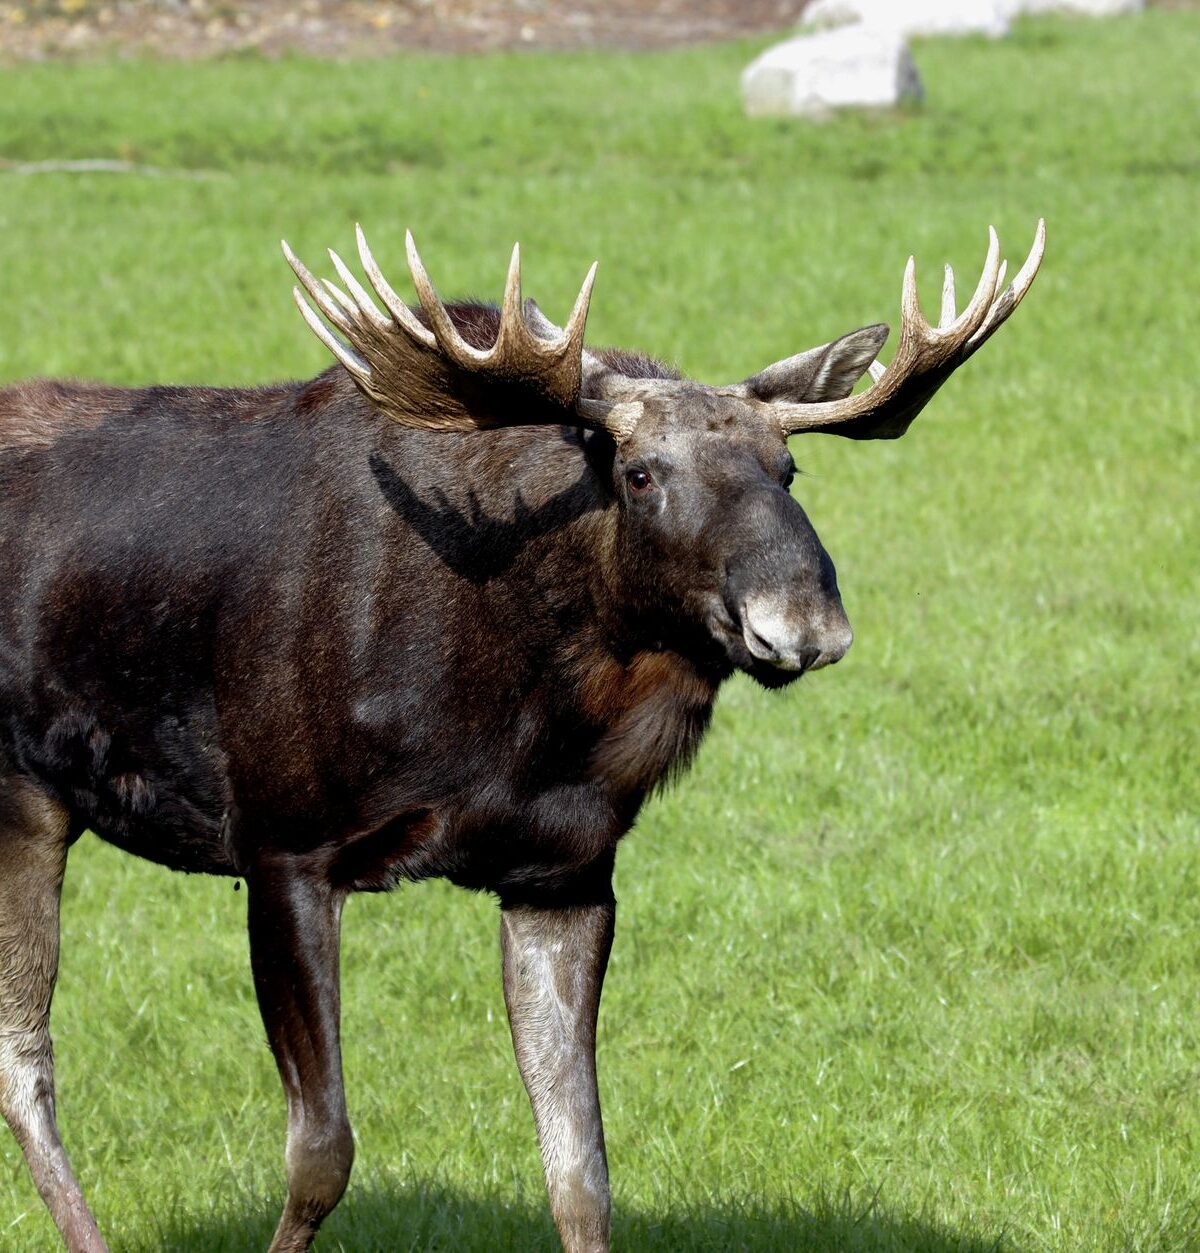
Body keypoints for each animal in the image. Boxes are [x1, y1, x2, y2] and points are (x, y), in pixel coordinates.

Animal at [0, 219, 1044, 1251]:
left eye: (789, 469)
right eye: (639, 473)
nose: (805, 623)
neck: (519, 720)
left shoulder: (564, 871)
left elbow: (580, 1170)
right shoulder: (281, 840)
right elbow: (322, 1151)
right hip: (26, 796)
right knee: (27, 1058)